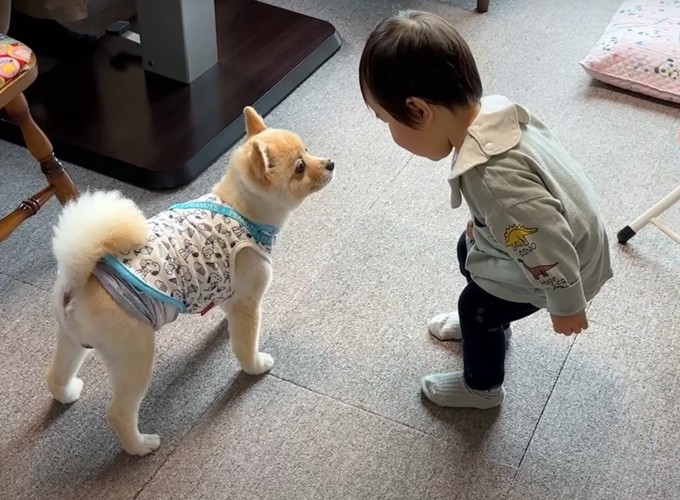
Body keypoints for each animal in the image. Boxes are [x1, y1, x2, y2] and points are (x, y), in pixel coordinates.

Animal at [47, 106, 334, 458]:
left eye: (307, 150)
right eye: (300, 167)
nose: (330, 164)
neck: (242, 210)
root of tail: (77, 277)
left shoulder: (230, 292)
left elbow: (230, 321)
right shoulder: (248, 301)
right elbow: (246, 344)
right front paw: (255, 365)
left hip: (73, 340)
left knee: (55, 374)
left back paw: (67, 392)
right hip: (134, 355)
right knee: (119, 413)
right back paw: (140, 446)